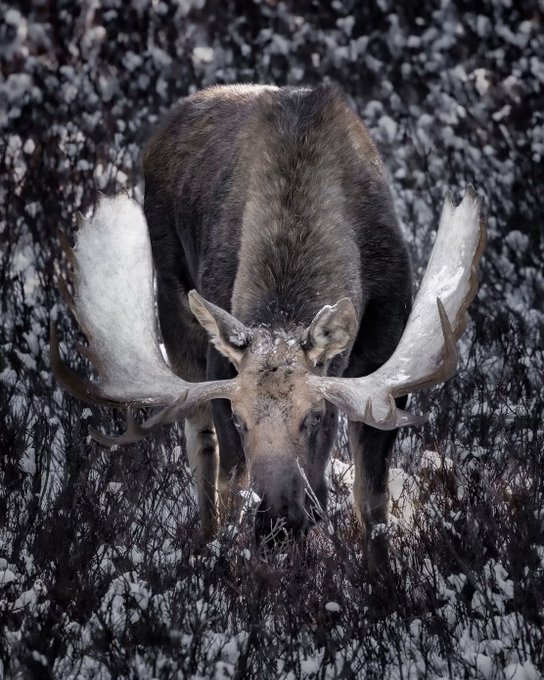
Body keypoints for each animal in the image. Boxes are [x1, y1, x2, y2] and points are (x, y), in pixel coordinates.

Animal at [51, 83, 486, 571]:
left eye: (316, 416)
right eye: (241, 420)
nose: (278, 520)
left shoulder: (384, 364)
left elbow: (372, 500)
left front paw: (382, 581)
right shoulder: (219, 370)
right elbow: (231, 483)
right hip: (173, 309)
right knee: (199, 445)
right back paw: (203, 545)